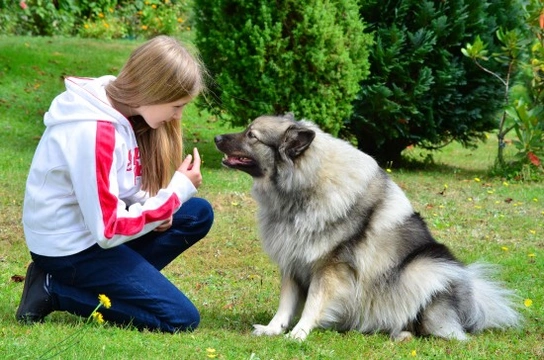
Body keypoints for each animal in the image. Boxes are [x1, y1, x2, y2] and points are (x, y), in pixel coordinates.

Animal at [215, 114, 520, 342]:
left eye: (252, 136)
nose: (217, 138)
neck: (302, 189)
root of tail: (470, 302)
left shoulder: (329, 267)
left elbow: (313, 302)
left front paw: (299, 332)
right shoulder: (292, 260)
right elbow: (286, 304)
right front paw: (273, 329)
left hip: (423, 267)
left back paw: (402, 332)